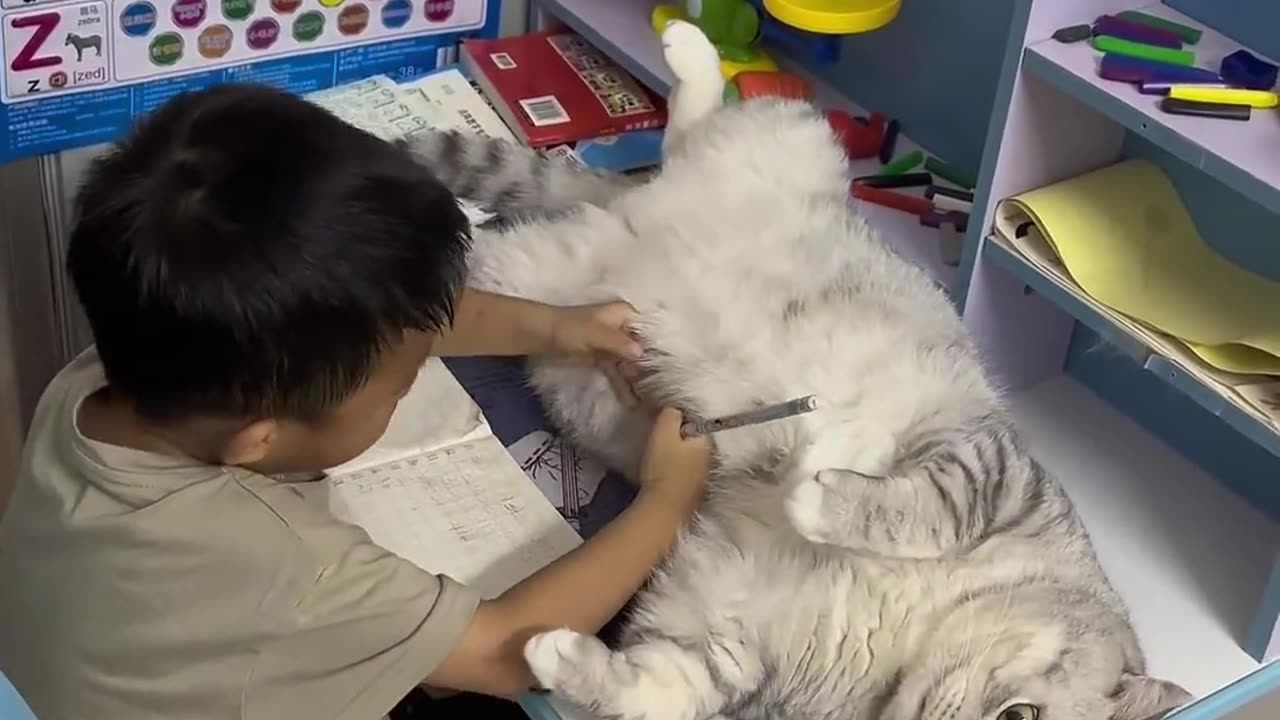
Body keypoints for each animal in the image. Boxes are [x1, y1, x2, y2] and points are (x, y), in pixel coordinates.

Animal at [401, 20, 1187, 717]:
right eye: (1019, 716)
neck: (913, 638)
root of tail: (627, 206)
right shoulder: (997, 469)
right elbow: (930, 507)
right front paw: (822, 484)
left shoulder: (731, 631)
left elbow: (664, 688)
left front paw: (556, 655)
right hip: (797, 136)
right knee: (691, 128)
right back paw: (689, 49)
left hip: (529, 276)